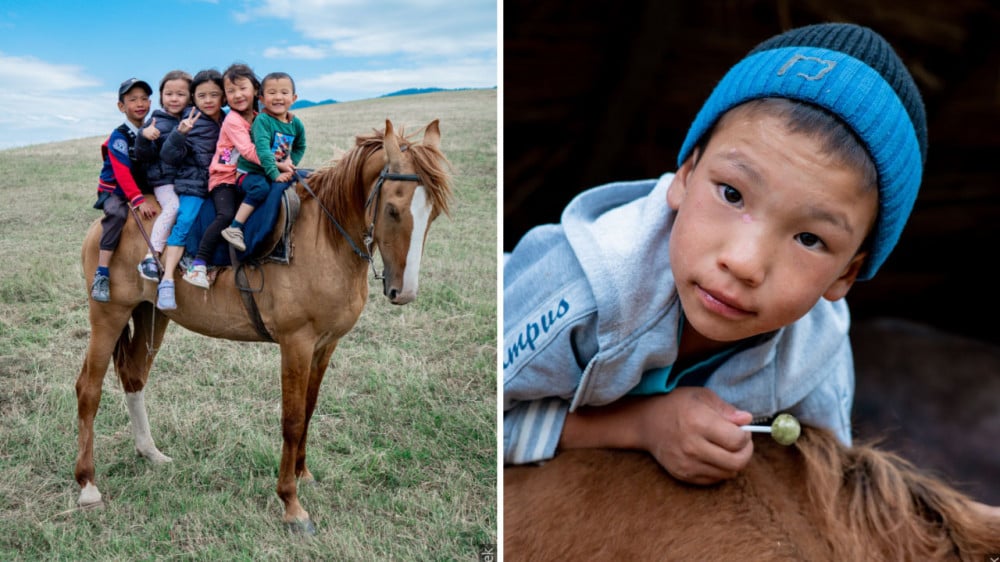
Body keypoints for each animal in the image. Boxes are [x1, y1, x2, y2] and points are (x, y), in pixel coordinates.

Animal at [76, 118, 452, 528]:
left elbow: (309, 409)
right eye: (395, 210)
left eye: (432, 214)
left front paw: (303, 473)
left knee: (133, 377)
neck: (324, 238)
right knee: (88, 389)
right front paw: (291, 502)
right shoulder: (296, 343)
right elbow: (292, 419)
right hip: (109, 314)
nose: (404, 292)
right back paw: (88, 484)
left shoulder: (325, 345)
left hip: (152, 313)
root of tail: (106, 223)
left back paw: (149, 452)